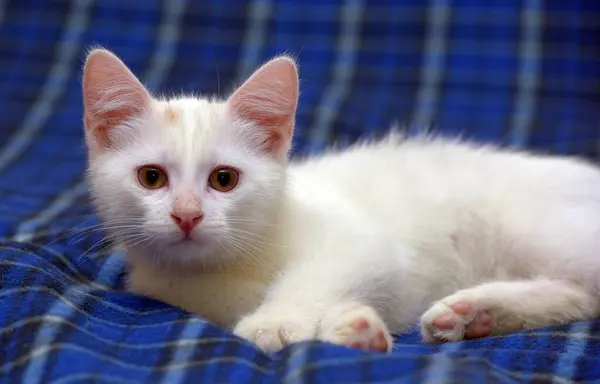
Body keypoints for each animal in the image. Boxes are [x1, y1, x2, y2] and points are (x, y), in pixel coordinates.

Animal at [82, 48, 600, 354]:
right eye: (151, 178)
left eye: (224, 179)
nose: (186, 215)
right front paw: (356, 330)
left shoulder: (363, 242)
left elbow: (318, 276)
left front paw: (276, 321)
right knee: (581, 295)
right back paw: (474, 315)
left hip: (532, 226)